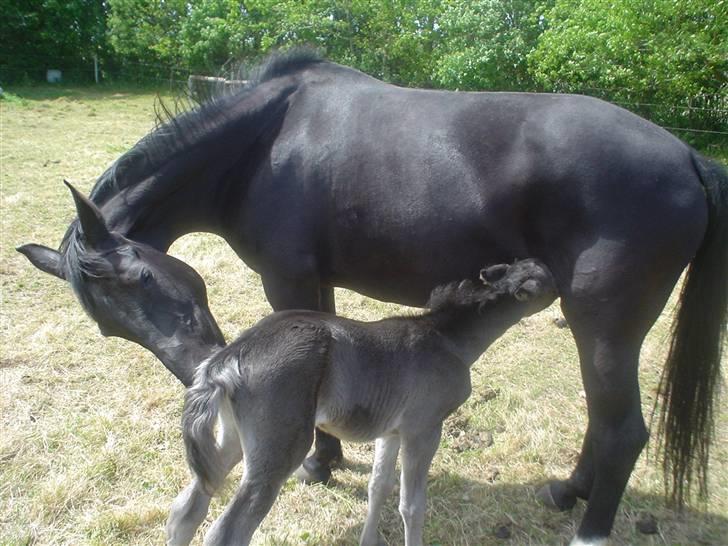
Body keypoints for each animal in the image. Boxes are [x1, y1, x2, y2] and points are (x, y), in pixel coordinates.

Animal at [17, 49, 724, 540]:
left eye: (141, 277)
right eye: (109, 326)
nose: (200, 369)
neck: (265, 143)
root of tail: (690, 157)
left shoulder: (288, 279)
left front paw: (317, 463)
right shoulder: (320, 283)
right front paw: (329, 459)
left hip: (602, 327)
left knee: (621, 431)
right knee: (605, 424)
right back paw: (568, 491)